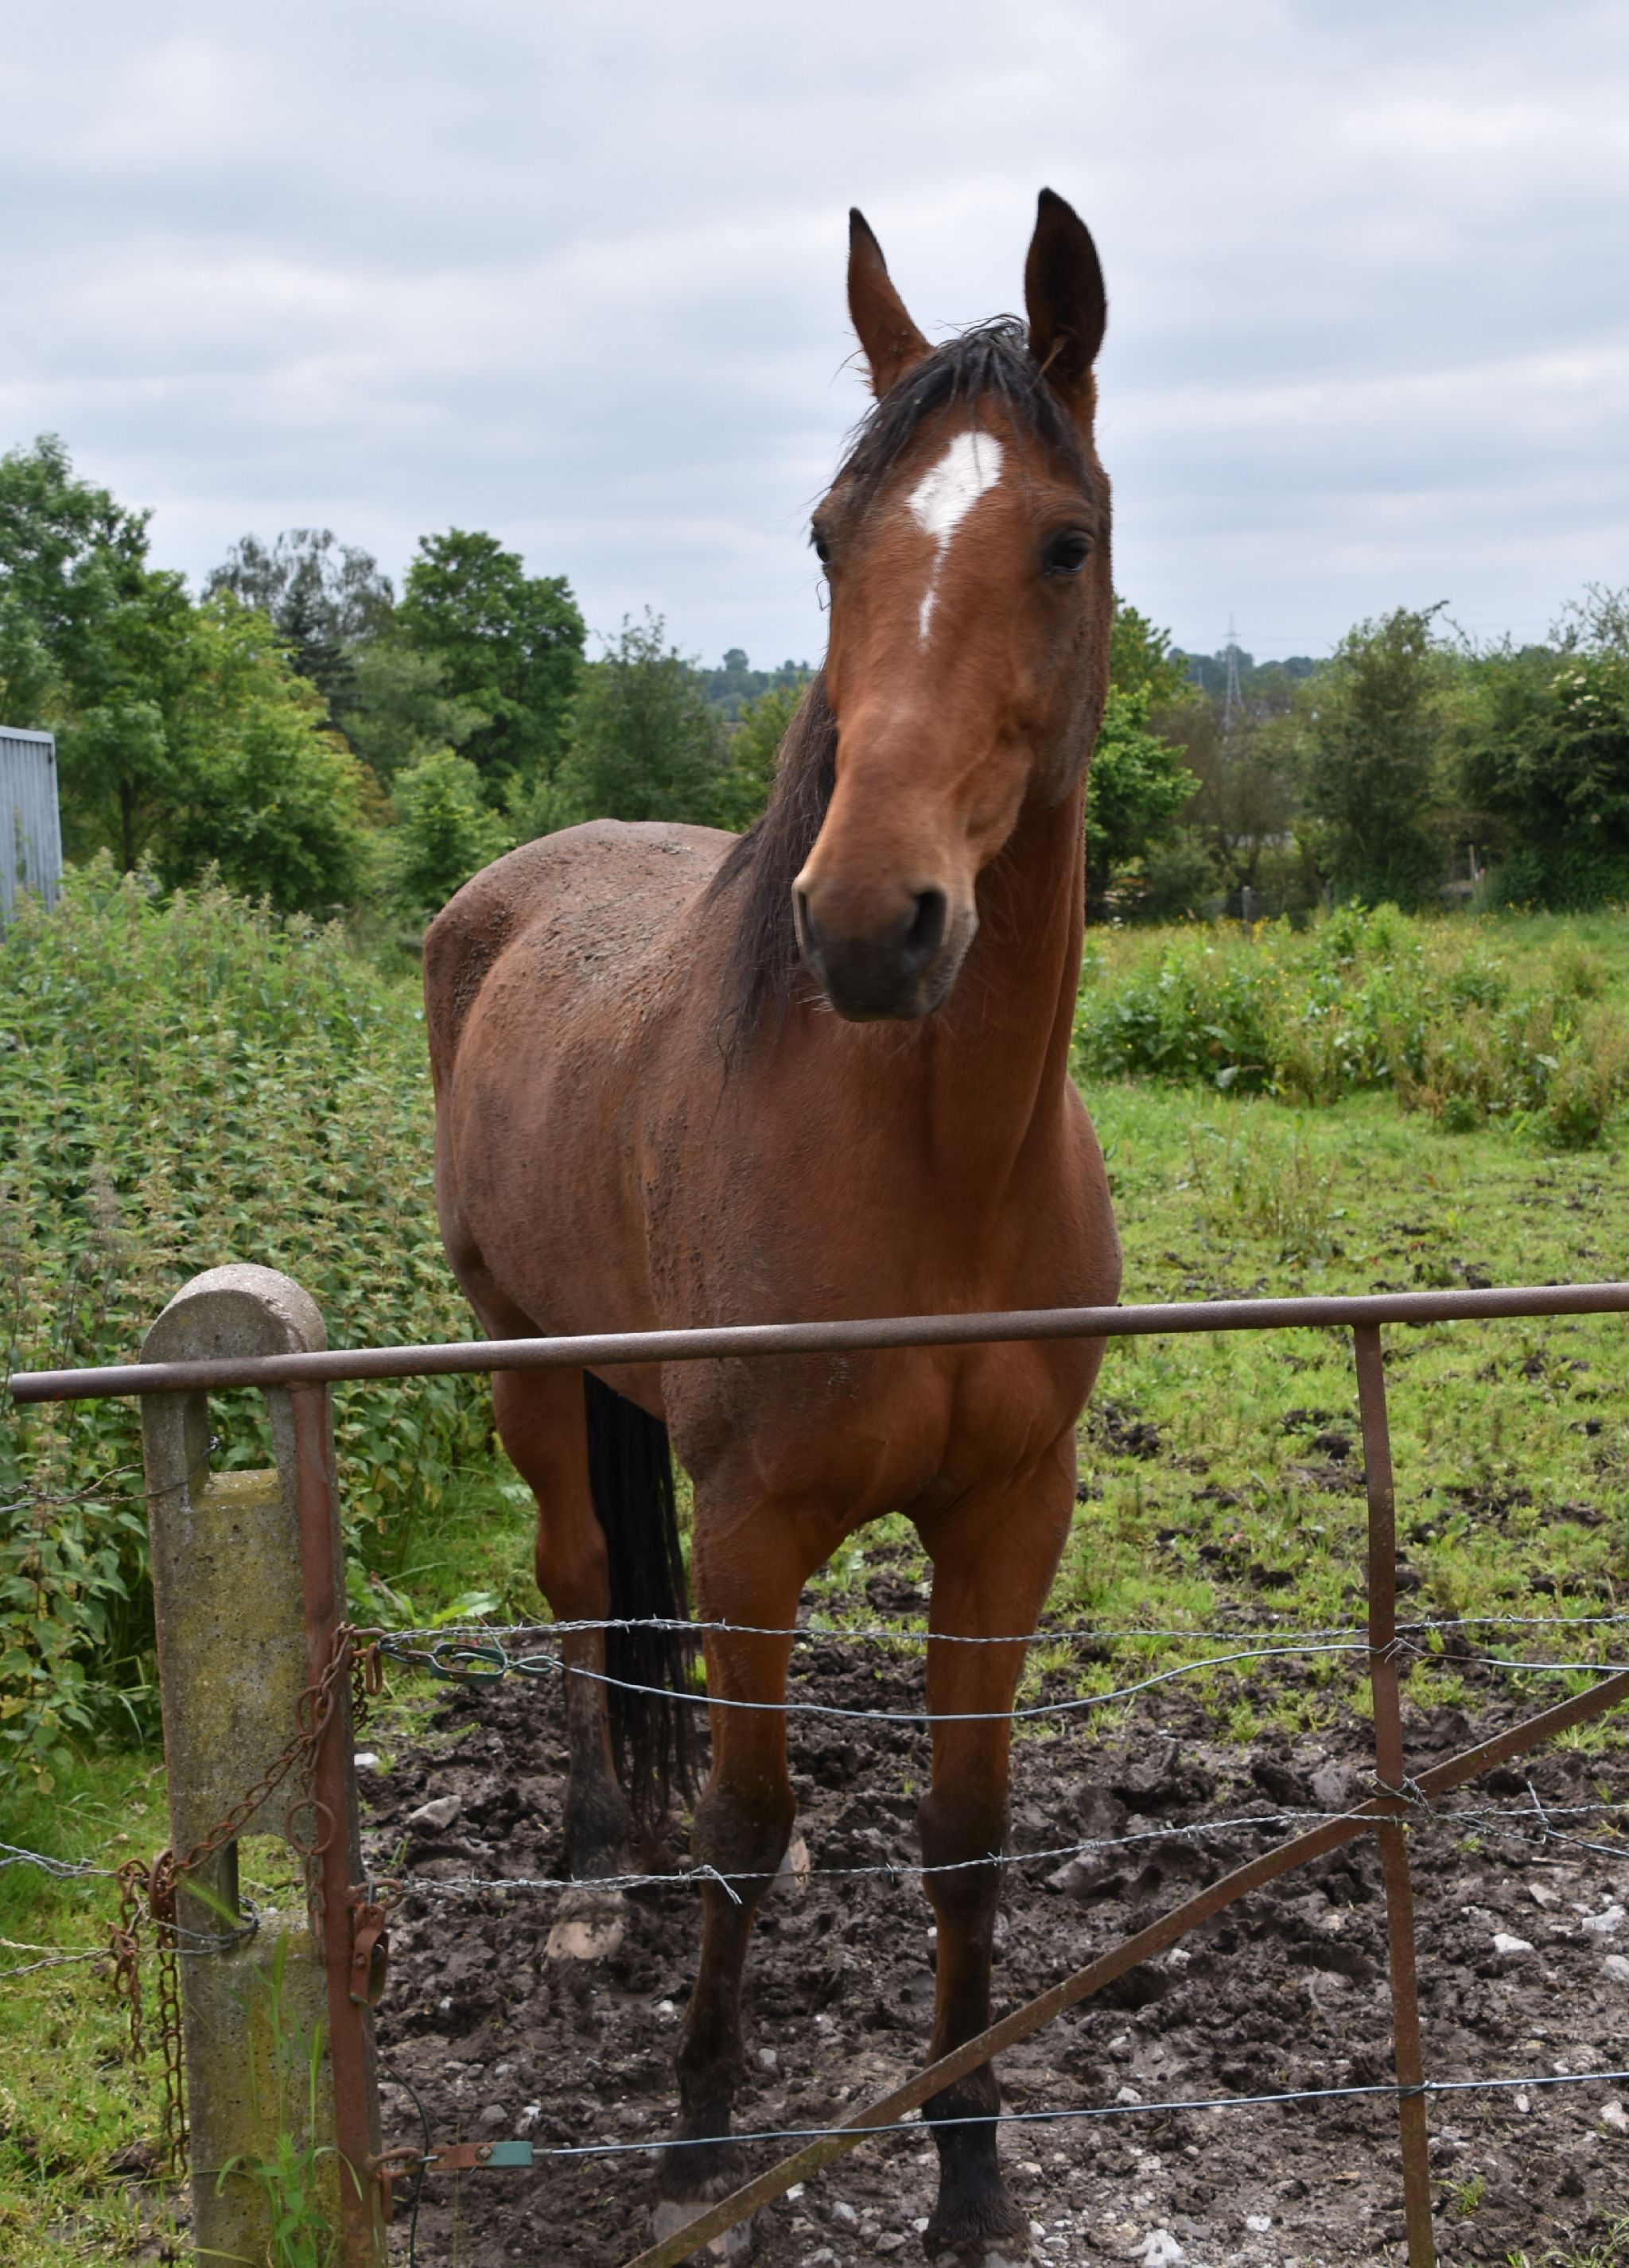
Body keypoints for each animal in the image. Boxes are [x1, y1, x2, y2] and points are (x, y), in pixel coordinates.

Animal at [424, 188, 1122, 2264]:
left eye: (1062, 542)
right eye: (831, 539)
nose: (869, 920)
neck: (935, 1171)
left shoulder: (1009, 1515)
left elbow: (965, 1836)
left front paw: (967, 2165)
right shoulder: (750, 1520)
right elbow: (739, 1816)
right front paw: (698, 2131)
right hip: (524, 1359)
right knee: (582, 1577)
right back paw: (594, 1871)